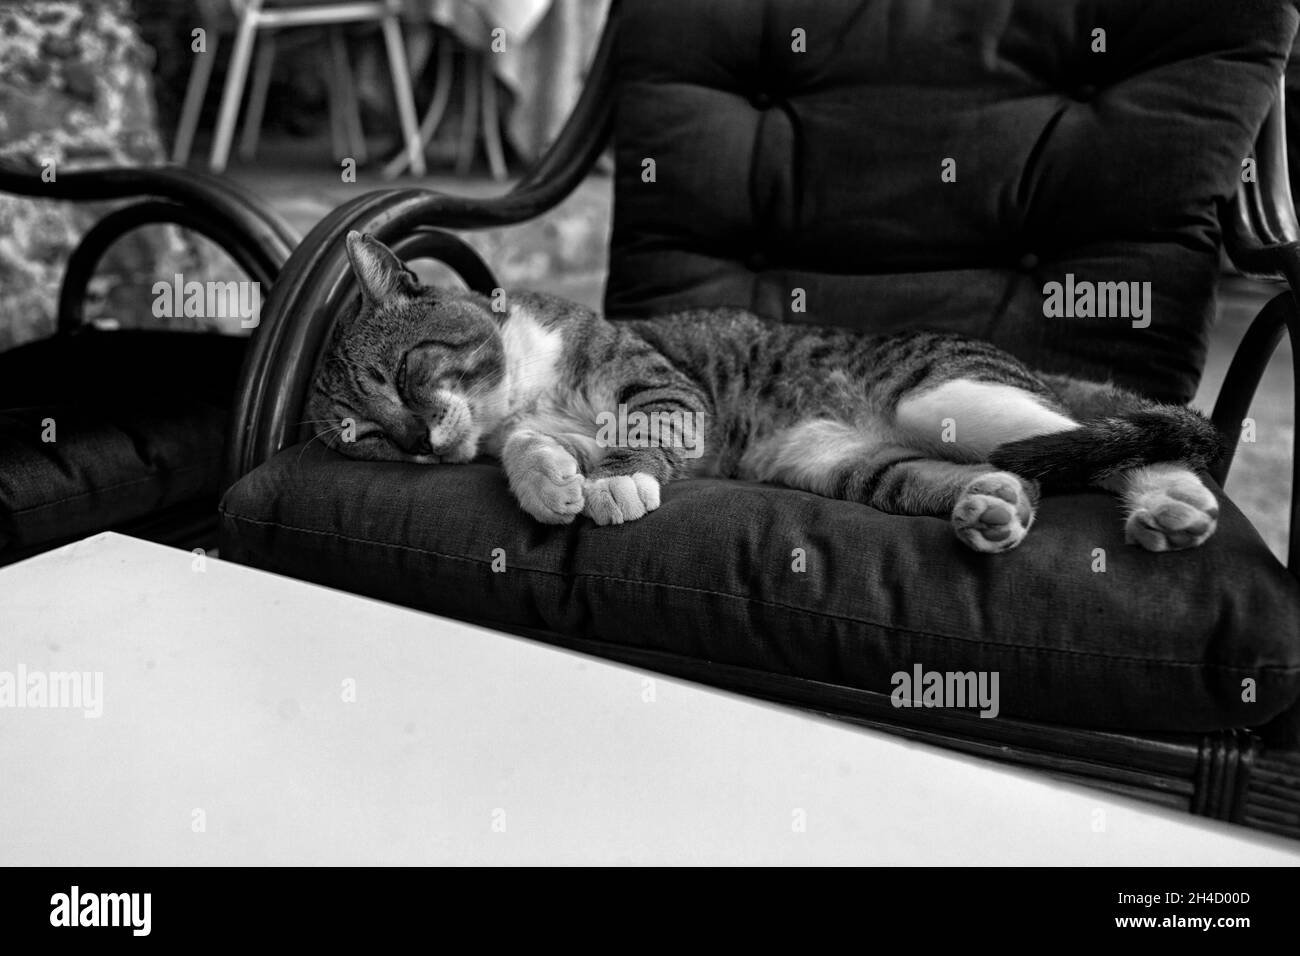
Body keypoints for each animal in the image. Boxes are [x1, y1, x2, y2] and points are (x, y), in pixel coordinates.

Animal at [309, 232, 1222, 556]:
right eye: (364, 437)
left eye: (402, 374)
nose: (416, 443)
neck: (521, 389)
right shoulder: (532, 430)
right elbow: (533, 449)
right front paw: (551, 486)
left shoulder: (661, 385)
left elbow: (642, 432)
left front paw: (615, 485)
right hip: (840, 463)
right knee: (1011, 476)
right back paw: (992, 509)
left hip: (953, 395)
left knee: (1105, 440)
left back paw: (1172, 506)